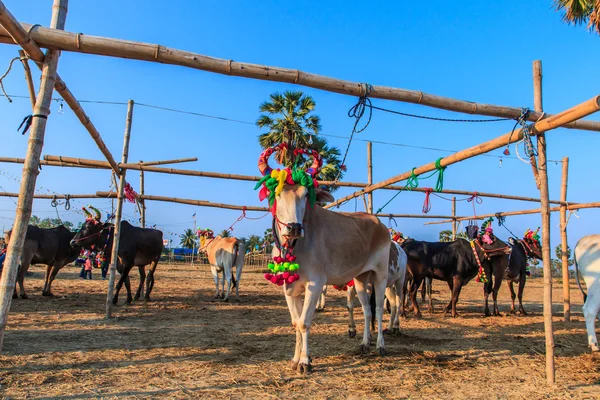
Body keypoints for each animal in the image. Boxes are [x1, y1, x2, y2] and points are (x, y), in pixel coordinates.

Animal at [253, 145, 390, 374]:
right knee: (367, 311)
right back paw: (364, 344)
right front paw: (295, 359)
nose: (294, 227)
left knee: (378, 309)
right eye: (277, 193)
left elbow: (304, 322)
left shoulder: (315, 284)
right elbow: (295, 322)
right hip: (360, 279)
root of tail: (379, 224)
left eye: (304, 195)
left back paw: (380, 346)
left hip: (381, 275)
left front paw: (305, 362)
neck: (294, 248)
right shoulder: (289, 288)